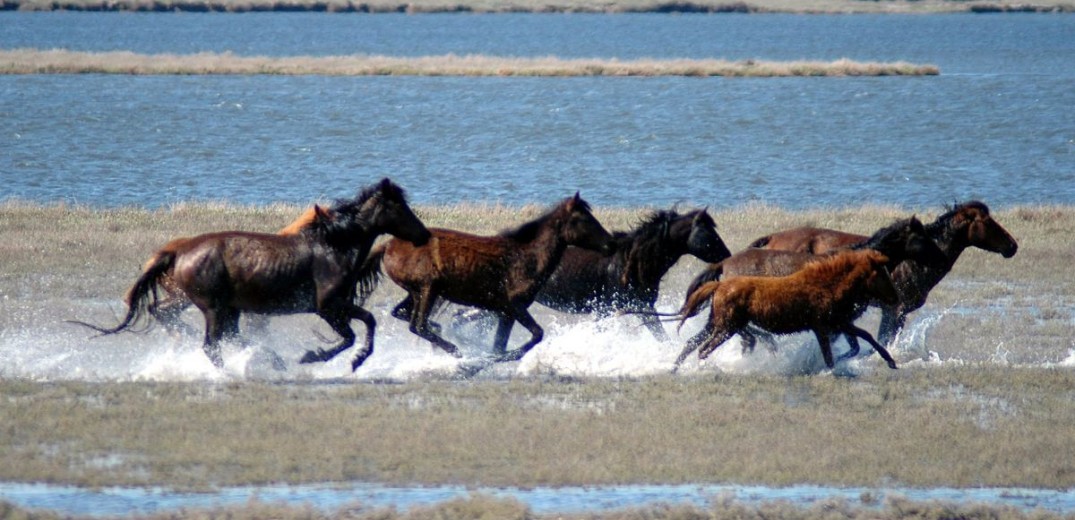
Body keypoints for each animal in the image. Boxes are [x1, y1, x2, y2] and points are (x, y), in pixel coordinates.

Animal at [69, 178, 432, 369]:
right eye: (399, 207)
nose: (424, 235)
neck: (333, 244)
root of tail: (178, 251)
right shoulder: (327, 307)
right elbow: (353, 333)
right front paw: (315, 357)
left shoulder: (337, 306)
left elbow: (366, 324)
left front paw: (352, 360)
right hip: (213, 308)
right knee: (211, 344)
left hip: (211, 305)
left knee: (170, 314)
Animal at [363, 194, 614, 360]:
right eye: (584, 219)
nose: (610, 243)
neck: (525, 257)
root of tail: (387, 245)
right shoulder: (514, 306)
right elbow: (535, 334)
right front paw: (495, 358)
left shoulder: (506, 312)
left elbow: (500, 345)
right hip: (428, 290)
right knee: (418, 325)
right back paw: (455, 350)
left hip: (416, 292)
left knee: (403, 314)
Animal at [670, 250, 898, 371]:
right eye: (882, 274)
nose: (895, 298)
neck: (827, 285)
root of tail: (719, 285)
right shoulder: (822, 326)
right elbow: (829, 356)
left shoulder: (837, 322)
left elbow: (866, 335)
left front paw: (890, 361)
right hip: (728, 327)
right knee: (705, 349)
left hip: (717, 324)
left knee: (693, 343)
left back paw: (676, 369)